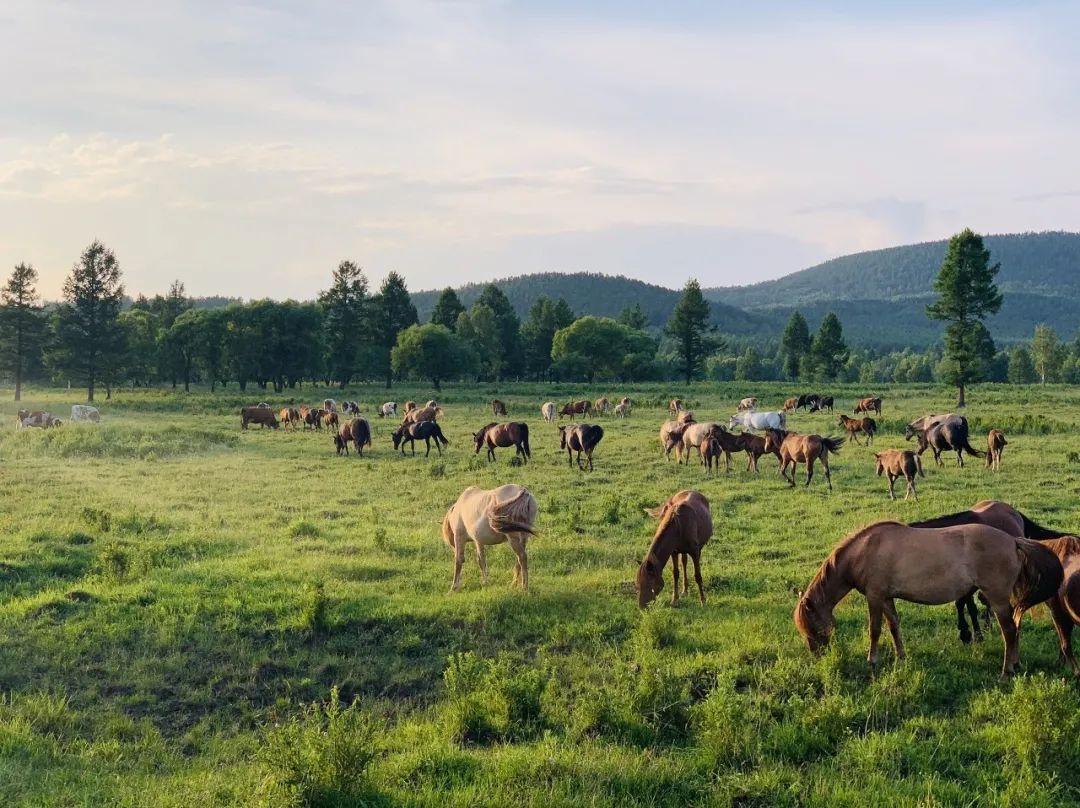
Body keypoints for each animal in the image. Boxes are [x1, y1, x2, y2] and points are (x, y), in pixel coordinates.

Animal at [794, 518, 1062, 674]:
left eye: (812, 628)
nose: (817, 656)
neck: (865, 550)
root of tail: (1013, 541)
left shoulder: (874, 596)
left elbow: (875, 630)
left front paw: (872, 661)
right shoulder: (887, 598)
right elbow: (894, 627)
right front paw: (901, 657)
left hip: (997, 600)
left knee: (1009, 631)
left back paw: (1007, 671)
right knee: (1014, 631)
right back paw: (1015, 664)